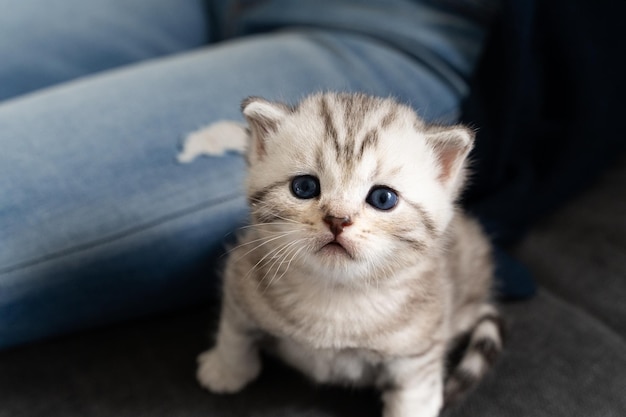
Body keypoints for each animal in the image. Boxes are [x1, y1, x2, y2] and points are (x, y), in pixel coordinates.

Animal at [195, 92, 502, 414]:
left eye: (383, 198)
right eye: (304, 186)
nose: (337, 219)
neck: (337, 295)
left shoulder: (420, 347)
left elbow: (413, 396)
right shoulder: (241, 274)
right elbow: (234, 332)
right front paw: (225, 370)